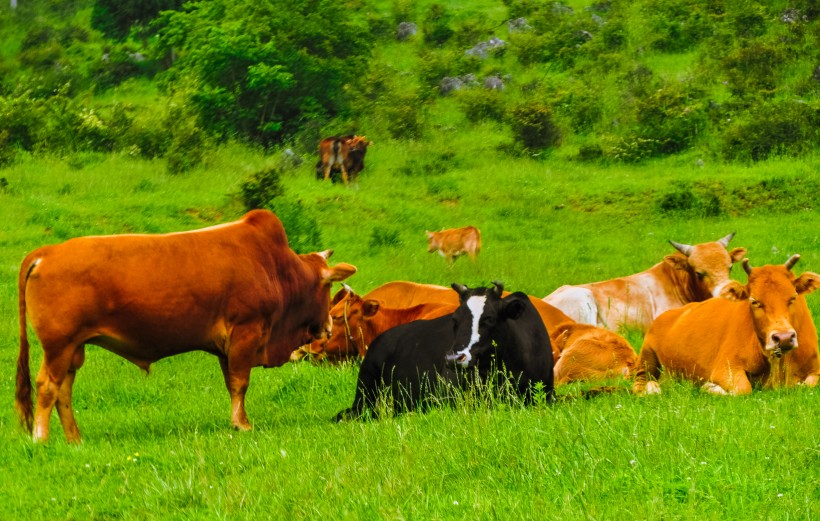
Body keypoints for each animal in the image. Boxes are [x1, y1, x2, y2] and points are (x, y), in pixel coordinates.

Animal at [15, 209, 356, 440]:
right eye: (327, 288)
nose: (328, 326)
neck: (275, 267)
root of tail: (48, 252)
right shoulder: (246, 332)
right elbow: (241, 382)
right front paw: (242, 423)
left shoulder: (226, 347)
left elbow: (231, 383)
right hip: (58, 345)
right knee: (47, 386)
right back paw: (41, 438)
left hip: (73, 348)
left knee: (63, 391)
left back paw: (74, 438)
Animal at [636, 255, 820, 394]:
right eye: (754, 301)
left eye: (793, 297)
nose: (783, 338)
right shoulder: (726, 367)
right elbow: (743, 388)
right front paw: (709, 387)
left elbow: (808, 384)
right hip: (646, 356)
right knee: (640, 382)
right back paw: (653, 388)